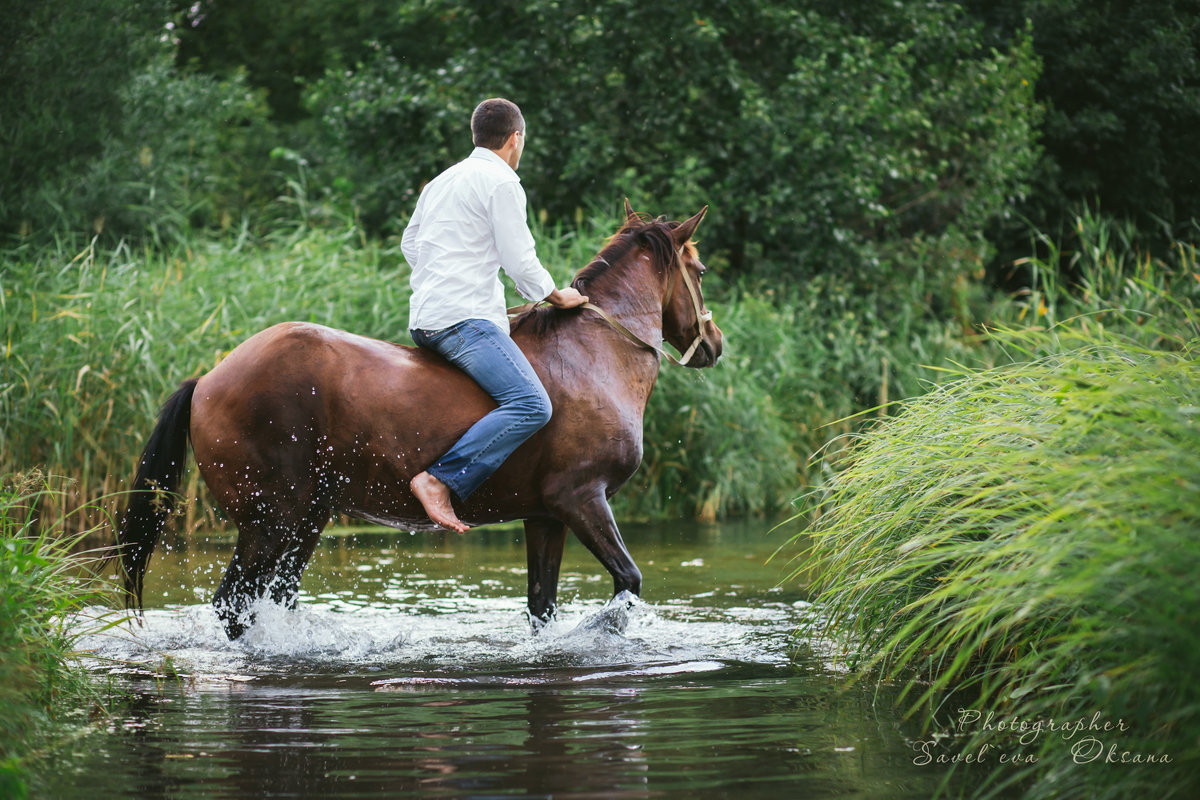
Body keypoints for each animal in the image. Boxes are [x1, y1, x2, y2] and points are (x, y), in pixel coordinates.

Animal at [117, 203, 720, 642]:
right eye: (700, 270)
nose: (714, 343)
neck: (594, 354)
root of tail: (209, 379)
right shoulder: (583, 500)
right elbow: (628, 582)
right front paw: (605, 629)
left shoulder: (546, 517)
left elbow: (541, 607)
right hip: (270, 523)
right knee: (233, 605)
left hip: (303, 523)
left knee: (269, 601)